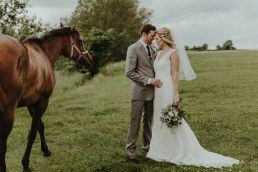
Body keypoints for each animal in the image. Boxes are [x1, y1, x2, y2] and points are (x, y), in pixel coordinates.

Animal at [0, 23, 94, 172]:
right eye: (80, 41)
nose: (90, 61)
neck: (44, 53)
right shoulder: (43, 101)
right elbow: (32, 132)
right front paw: (25, 164)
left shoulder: (31, 103)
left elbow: (40, 126)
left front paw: (45, 150)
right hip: (8, 113)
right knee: (3, 145)